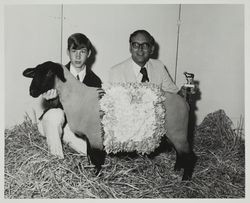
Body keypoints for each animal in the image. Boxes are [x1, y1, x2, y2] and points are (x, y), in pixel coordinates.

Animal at [23, 61, 197, 180]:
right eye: (35, 73)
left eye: (48, 73)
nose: (31, 92)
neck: (76, 96)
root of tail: (185, 103)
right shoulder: (90, 137)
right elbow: (89, 155)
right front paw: (90, 171)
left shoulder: (95, 136)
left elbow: (97, 158)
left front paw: (96, 176)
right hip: (172, 133)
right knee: (180, 153)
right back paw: (176, 170)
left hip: (178, 131)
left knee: (189, 155)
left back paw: (185, 179)